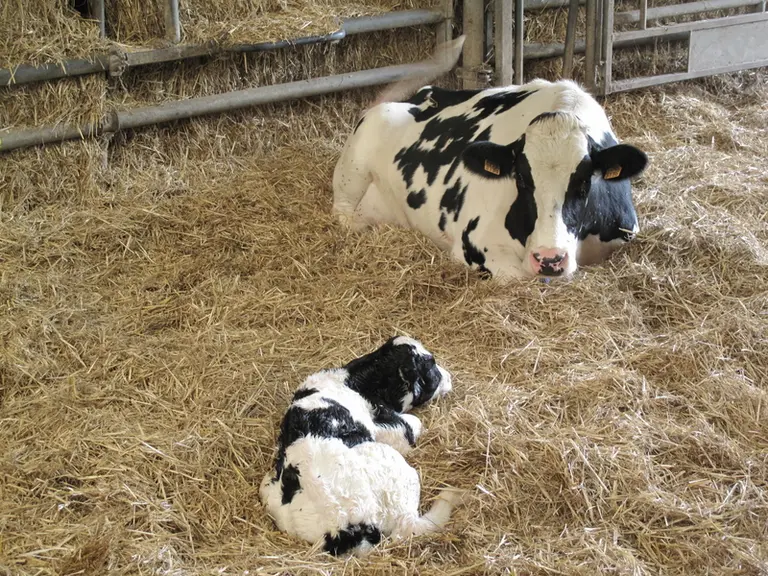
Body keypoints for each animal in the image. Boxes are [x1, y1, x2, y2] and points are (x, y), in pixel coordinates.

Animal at [259, 336, 466, 557]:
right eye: (432, 368)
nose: (449, 377)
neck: (355, 382)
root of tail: (342, 529)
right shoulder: (396, 430)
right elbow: (414, 425)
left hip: (270, 496)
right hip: (396, 468)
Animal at [332, 37, 648, 280]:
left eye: (584, 182)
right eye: (521, 178)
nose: (548, 259)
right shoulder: (475, 245)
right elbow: (517, 276)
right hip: (352, 178)